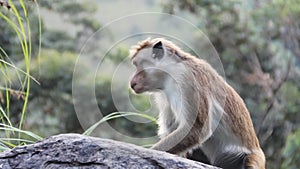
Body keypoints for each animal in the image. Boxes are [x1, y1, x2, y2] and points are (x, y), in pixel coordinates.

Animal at [129, 37, 264, 169]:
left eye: (138, 65)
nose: (132, 83)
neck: (170, 73)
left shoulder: (186, 80)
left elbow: (196, 129)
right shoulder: (163, 95)